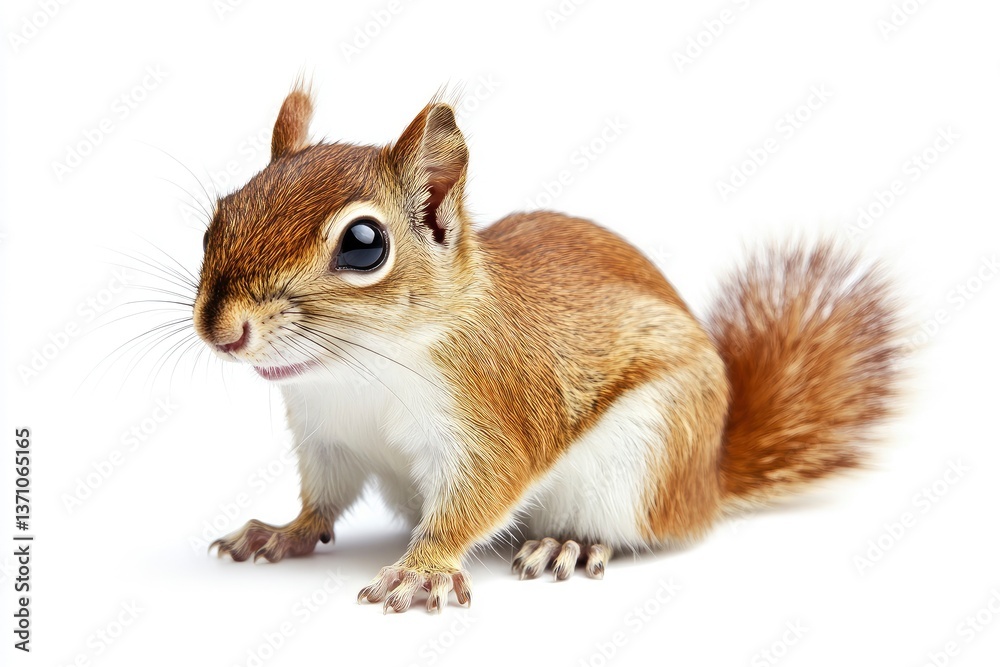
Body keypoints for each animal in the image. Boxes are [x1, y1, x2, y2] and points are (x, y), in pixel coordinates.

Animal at [195, 85, 904, 614]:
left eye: (364, 244)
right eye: (219, 216)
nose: (221, 330)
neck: (356, 372)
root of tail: (708, 479)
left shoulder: (495, 416)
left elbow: (475, 499)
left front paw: (422, 567)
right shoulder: (327, 437)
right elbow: (324, 500)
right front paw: (281, 531)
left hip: (647, 454)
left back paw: (569, 543)